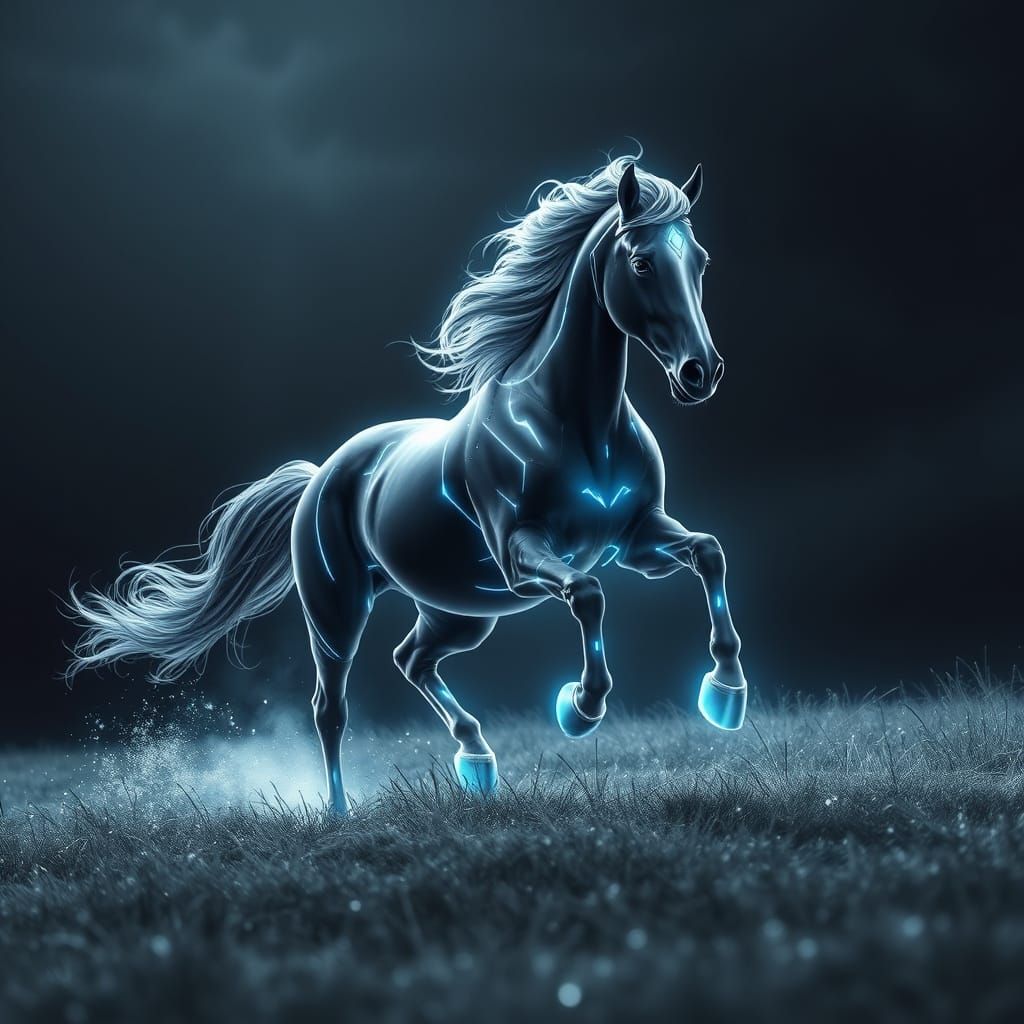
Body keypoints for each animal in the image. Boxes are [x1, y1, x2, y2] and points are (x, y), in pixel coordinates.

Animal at [68, 155, 749, 813]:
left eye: (701, 261)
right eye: (641, 261)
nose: (702, 372)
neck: (579, 428)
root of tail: (320, 476)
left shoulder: (636, 539)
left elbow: (709, 552)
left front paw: (725, 694)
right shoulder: (521, 556)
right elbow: (588, 595)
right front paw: (579, 707)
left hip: (460, 612)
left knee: (411, 660)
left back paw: (477, 760)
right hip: (338, 611)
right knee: (331, 708)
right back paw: (341, 813)